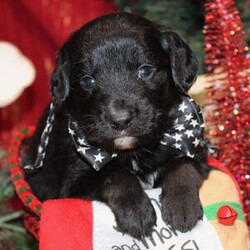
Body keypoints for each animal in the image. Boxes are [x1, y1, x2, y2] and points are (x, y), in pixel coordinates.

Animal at [22, 12, 208, 239]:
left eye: (145, 70)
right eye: (87, 81)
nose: (120, 120)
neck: (134, 152)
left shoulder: (197, 152)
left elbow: (183, 164)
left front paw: (182, 206)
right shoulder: (75, 181)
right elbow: (114, 174)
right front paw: (137, 213)